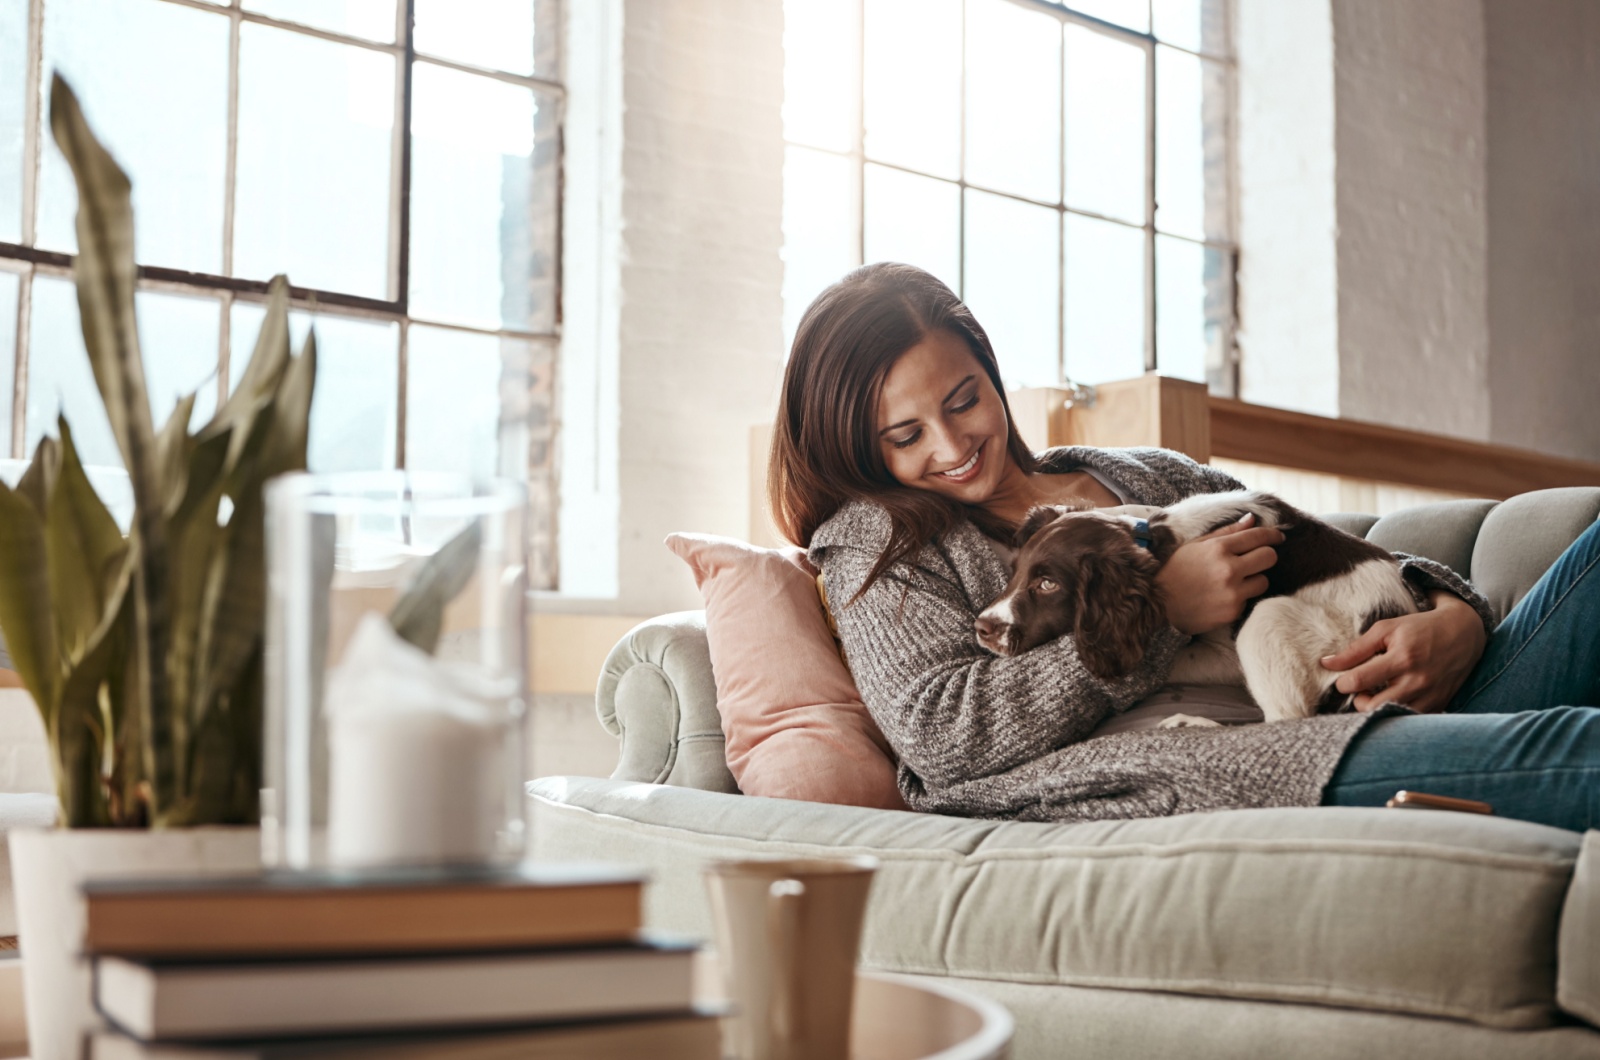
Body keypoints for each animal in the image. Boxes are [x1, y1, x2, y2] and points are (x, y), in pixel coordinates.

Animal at [966, 493, 1420, 726]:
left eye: (1048, 585)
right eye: (1015, 571)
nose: (982, 628)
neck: (1161, 542)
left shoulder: (1227, 651)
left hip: (1268, 619)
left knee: (1285, 720)